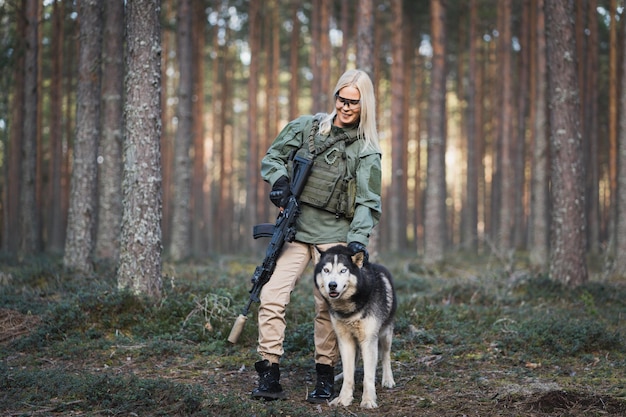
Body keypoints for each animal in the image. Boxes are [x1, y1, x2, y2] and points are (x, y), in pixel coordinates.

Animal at [312, 244, 394, 406]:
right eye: (326, 270)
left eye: (343, 270)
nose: (332, 285)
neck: (348, 309)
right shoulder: (345, 340)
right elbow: (349, 374)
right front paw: (343, 399)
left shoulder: (369, 340)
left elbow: (368, 376)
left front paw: (368, 400)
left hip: (385, 335)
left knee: (386, 356)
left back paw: (388, 380)